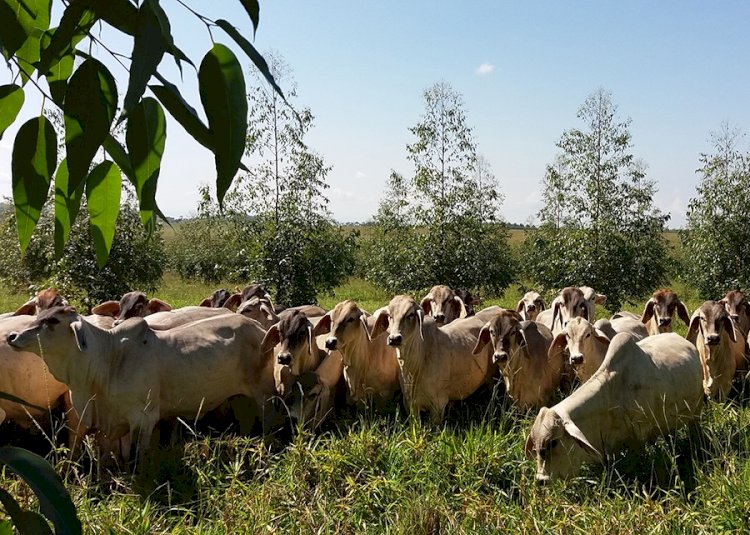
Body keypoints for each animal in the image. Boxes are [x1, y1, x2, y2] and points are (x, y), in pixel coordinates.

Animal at [6, 308, 276, 462]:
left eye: (52, 321)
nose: (12, 336)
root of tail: (259, 327)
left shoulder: (145, 418)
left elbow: (139, 458)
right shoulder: (106, 424)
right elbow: (108, 459)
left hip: (265, 396)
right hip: (240, 399)